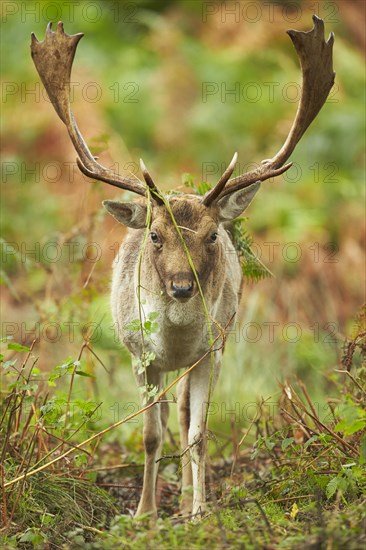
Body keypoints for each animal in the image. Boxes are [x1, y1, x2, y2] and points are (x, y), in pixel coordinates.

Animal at [30, 15, 334, 520]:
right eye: (156, 236)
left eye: (211, 236)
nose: (180, 287)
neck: (170, 339)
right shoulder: (139, 354)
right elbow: (151, 434)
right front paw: (144, 513)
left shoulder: (212, 351)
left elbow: (198, 433)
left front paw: (198, 511)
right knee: (170, 414)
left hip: (212, 349)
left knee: (188, 415)